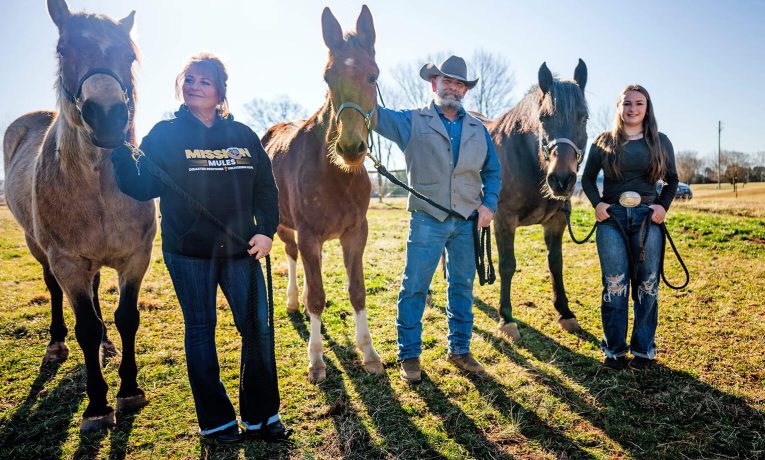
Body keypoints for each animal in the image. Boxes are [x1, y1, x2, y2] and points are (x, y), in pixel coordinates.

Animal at [2, 0, 154, 432]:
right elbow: (84, 324)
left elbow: (125, 317)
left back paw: (106, 345)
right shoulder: (67, 262)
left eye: (129, 55)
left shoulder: (135, 257)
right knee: (55, 292)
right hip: (39, 249)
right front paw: (98, 406)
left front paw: (128, 390)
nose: (107, 115)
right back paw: (56, 344)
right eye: (63, 50)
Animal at [262, 5, 382, 382]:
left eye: (373, 76)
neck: (336, 176)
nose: (351, 147)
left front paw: (369, 353)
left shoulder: (356, 232)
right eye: (327, 78)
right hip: (284, 226)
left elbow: (357, 291)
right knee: (291, 256)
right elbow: (316, 296)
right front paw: (316, 360)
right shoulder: (309, 234)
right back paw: (291, 301)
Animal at [486, 60, 588, 342]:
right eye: (543, 118)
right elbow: (507, 265)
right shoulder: (504, 219)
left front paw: (565, 312)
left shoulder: (556, 221)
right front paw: (506, 319)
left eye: (583, 117)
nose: (562, 179)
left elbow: (556, 264)